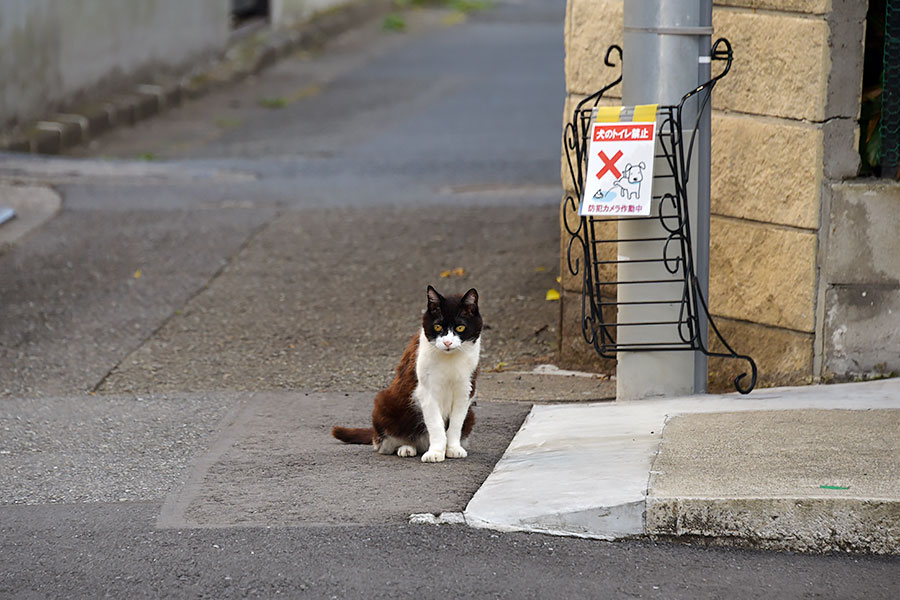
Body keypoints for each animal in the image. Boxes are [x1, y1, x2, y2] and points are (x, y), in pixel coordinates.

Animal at [330, 286, 482, 464]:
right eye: (438, 327)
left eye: (460, 328)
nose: (447, 342)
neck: (449, 359)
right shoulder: (426, 391)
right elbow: (435, 423)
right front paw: (436, 452)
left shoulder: (466, 389)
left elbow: (456, 423)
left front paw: (453, 448)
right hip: (385, 403)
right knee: (385, 442)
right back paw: (406, 447)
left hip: (471, 415)